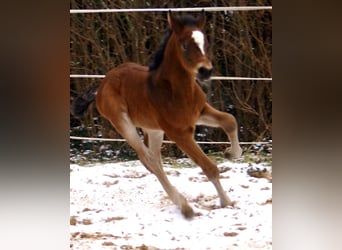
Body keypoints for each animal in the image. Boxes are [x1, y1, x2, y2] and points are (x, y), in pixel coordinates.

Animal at [72, 10, 243, 218]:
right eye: (184, 44)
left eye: (205, 42)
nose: (205, 71)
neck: (176, 91)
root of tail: (102, 85)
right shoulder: (179, 133)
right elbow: (209, 167)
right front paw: (226, 201)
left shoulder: (200, 111)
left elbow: (230, 120)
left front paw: (231, 153)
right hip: (123, 124)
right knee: (149, 159)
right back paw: (184, 206)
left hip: (153, 130)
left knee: (154, 160)